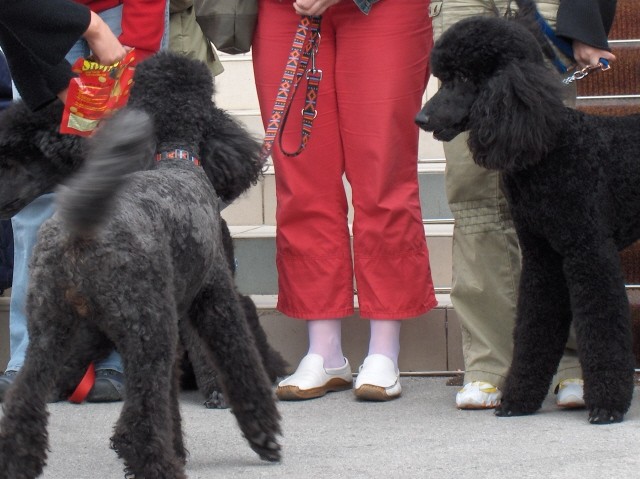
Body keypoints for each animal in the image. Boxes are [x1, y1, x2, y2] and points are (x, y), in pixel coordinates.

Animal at [0, 52, 282, 479]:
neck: (175, 160)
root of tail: (82, 229)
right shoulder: (213, 300)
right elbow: (239, 363)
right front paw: (263, 434)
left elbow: (171, 394)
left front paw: (179, 443)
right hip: (147, 328)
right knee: (136, 424)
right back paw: (159, 464)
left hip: (57, 329)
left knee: (26, 401)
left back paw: (20, 459)